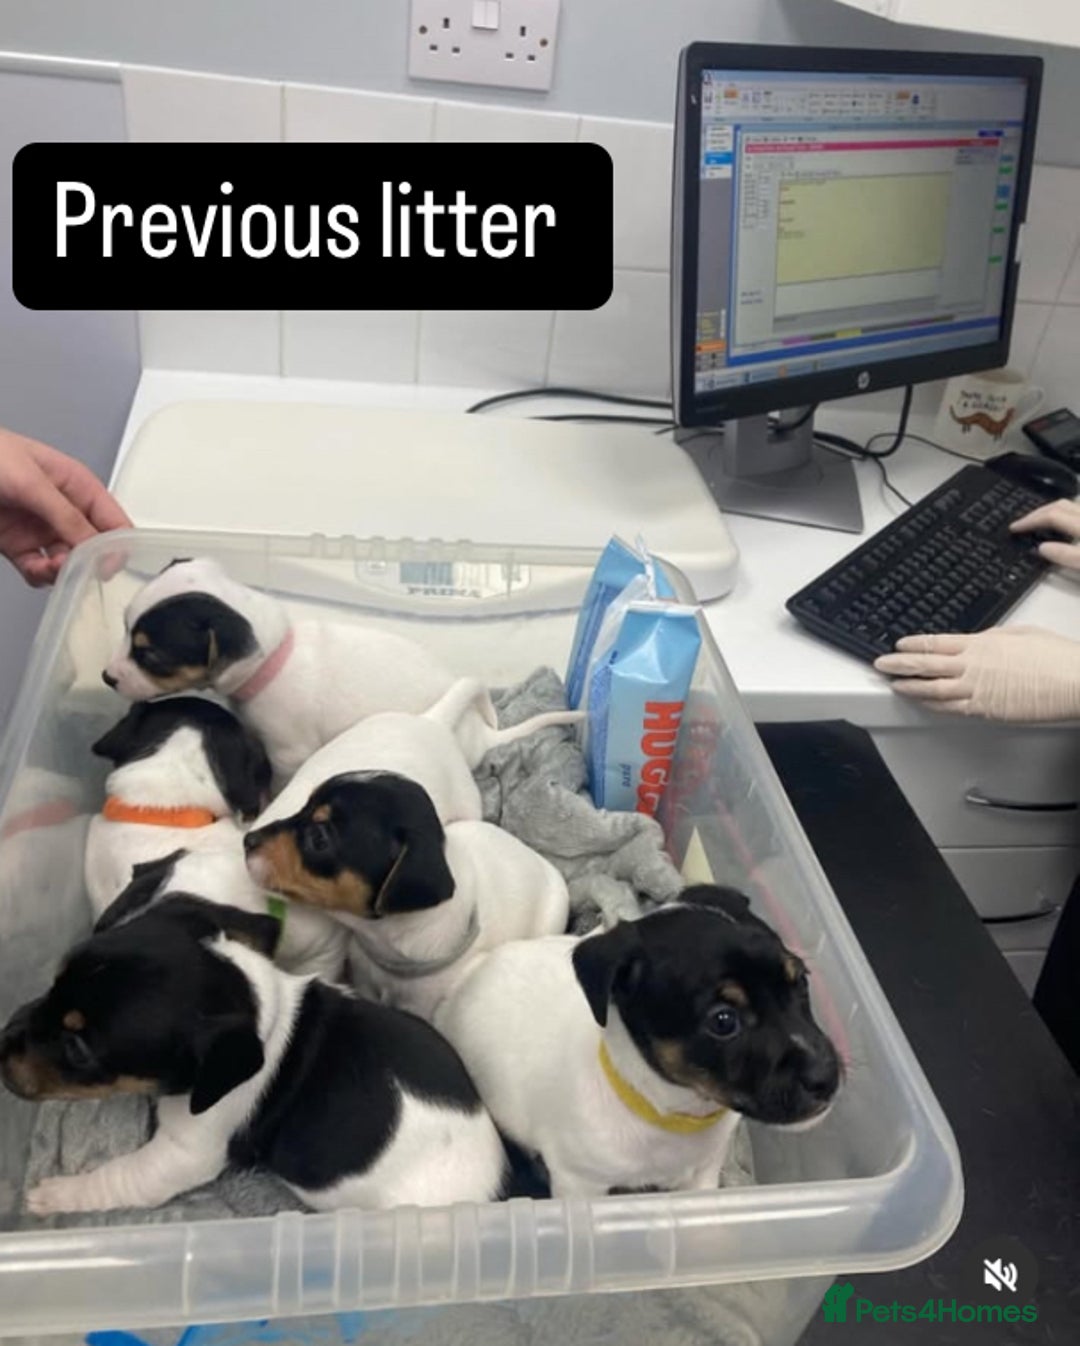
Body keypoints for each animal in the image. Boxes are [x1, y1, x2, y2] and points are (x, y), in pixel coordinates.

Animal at [0, 896, 508, 1215]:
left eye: (78, 1048)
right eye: (53, 982)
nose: (2, 1040)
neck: (257, 1007)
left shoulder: (185, 1153)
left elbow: (122, 1177)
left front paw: (56, 1196)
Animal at [103, 558, 580, 781]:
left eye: (150, 656)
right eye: (122, 629)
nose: (107, 678)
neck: (275, 656)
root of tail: (482, 736)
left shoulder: (288, 754)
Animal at [435, 885, 842, 1198]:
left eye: (801, 981)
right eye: (723, 1021)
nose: (827, 1077)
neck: (668, 1113)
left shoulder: (704, 1175)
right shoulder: (580, 1184)